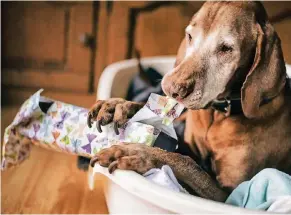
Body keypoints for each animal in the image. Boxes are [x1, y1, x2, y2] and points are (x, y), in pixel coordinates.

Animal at [87, 1, 291, 202]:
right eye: (190, 36)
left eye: (226, 48)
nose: (171, 88)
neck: (220, 114)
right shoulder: (187, 142)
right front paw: (119, 105)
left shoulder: (230, 195)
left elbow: (188, 163)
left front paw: (137, 153)